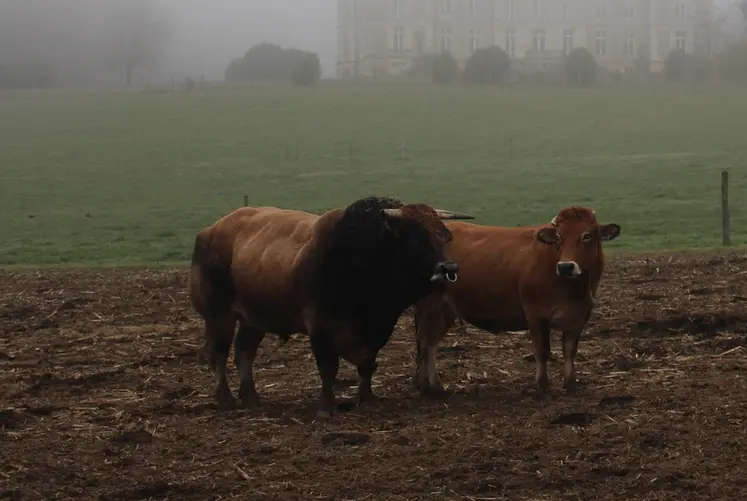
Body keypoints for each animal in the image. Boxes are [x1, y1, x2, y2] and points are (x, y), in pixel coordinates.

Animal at [188, 196, 474, 418]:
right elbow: (328, 368)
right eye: (416, 240)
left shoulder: (379, 327)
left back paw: (250, 397)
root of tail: (210, 231)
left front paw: (367, 398)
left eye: (445, 236)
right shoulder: (320, 327)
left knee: (244, 353)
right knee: (218, 355)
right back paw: (225, 398)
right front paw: (326, 406)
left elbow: (367, 365)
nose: (449, 269)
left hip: (254, 319)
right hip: (218, 316)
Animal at [411, 206, 620, 397]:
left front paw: (571, 384)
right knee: (424, 342)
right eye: (558, 238)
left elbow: (570, 351)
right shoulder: (536, 315)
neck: (572, 288)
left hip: (445, 311)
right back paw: (427, 386)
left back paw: (434, 386)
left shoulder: (578, 318)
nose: (566, 267)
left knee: (431, 343)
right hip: (428, 307)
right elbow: (542, 351)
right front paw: (542, 385)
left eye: (587, 235)